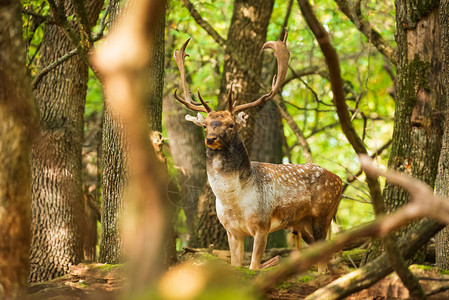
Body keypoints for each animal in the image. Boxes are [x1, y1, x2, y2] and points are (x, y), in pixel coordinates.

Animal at [173, 34, 342, 270]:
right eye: (205, 125)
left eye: (231, 125)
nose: (211, 139)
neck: (234, 202)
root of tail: (340, 179)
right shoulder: (231, 231)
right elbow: (236, 266)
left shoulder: (262, 225)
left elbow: (254, 267)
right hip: (302, 222)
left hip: (323, 215)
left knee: (325, 257)